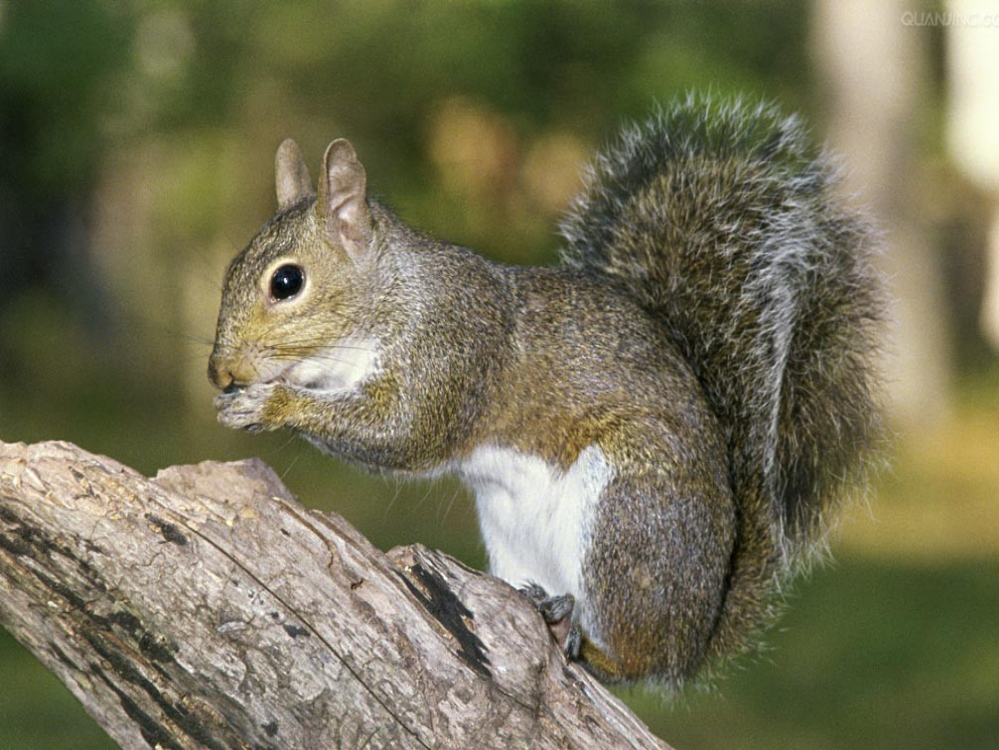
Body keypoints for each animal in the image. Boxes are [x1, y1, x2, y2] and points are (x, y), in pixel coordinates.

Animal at [209, 97, 884, 692]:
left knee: (632, 659)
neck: (391, 300)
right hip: (513, 532)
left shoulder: (453, 352)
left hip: (626, 512)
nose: (219, 372)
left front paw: (272, 404)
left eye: (287, 282)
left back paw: (580, 632)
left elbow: (405, 433)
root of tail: (697, 633)